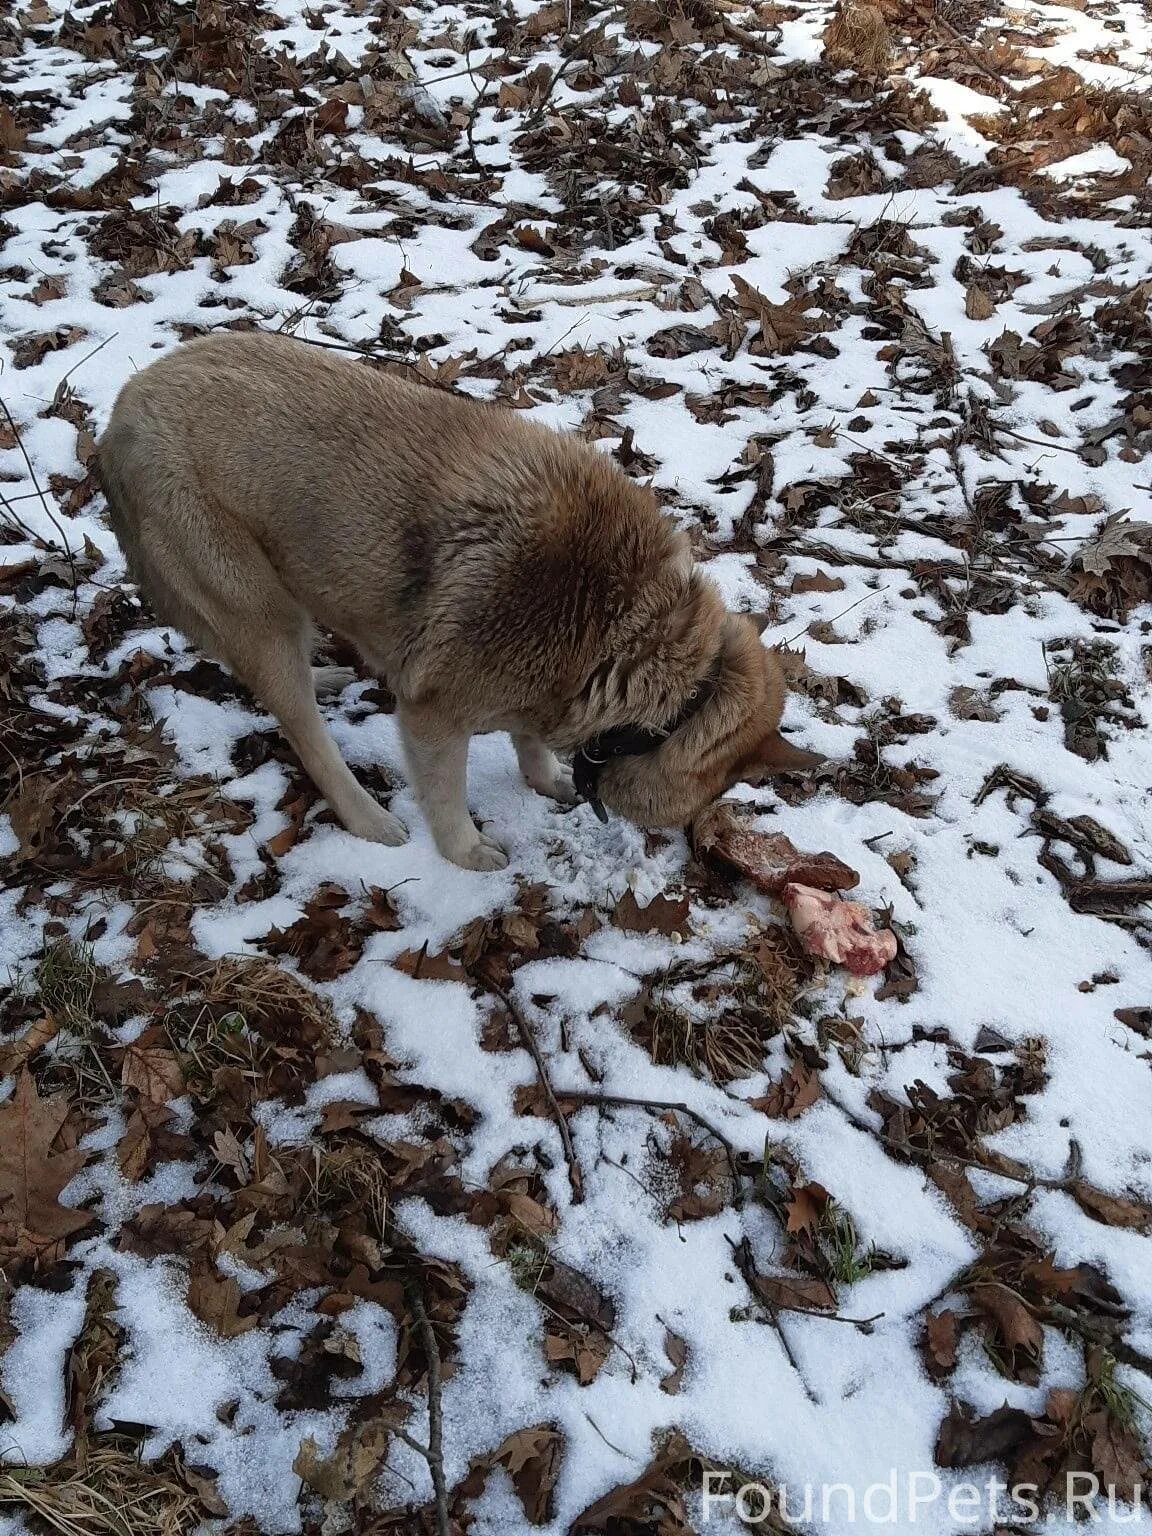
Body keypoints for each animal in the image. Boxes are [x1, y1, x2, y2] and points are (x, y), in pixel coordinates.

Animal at [99, 330, 823, 872]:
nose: (702, 854)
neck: (628, 635)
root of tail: (118, 414)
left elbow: (529, 740)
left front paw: (544, 777)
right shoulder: (433, 721)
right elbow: (447, 799)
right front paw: (465, 853)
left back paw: (325, 674)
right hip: (261, 614)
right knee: (305, 732)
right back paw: (367, 816)